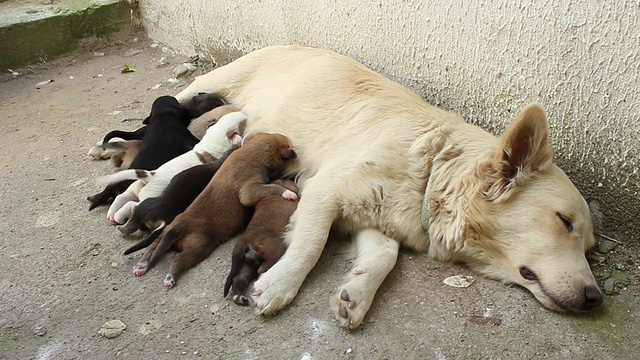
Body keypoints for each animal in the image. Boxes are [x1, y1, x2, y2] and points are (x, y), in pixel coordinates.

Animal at [131, 133, 300, 290]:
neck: (252, 152)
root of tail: (178, 227)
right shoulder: (249, 191)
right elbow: (271, 187)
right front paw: (288, 193)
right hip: (198, 246)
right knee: (178, 259)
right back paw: (169, 277)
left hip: (163, 236)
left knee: (150, 250)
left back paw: (141, 266)